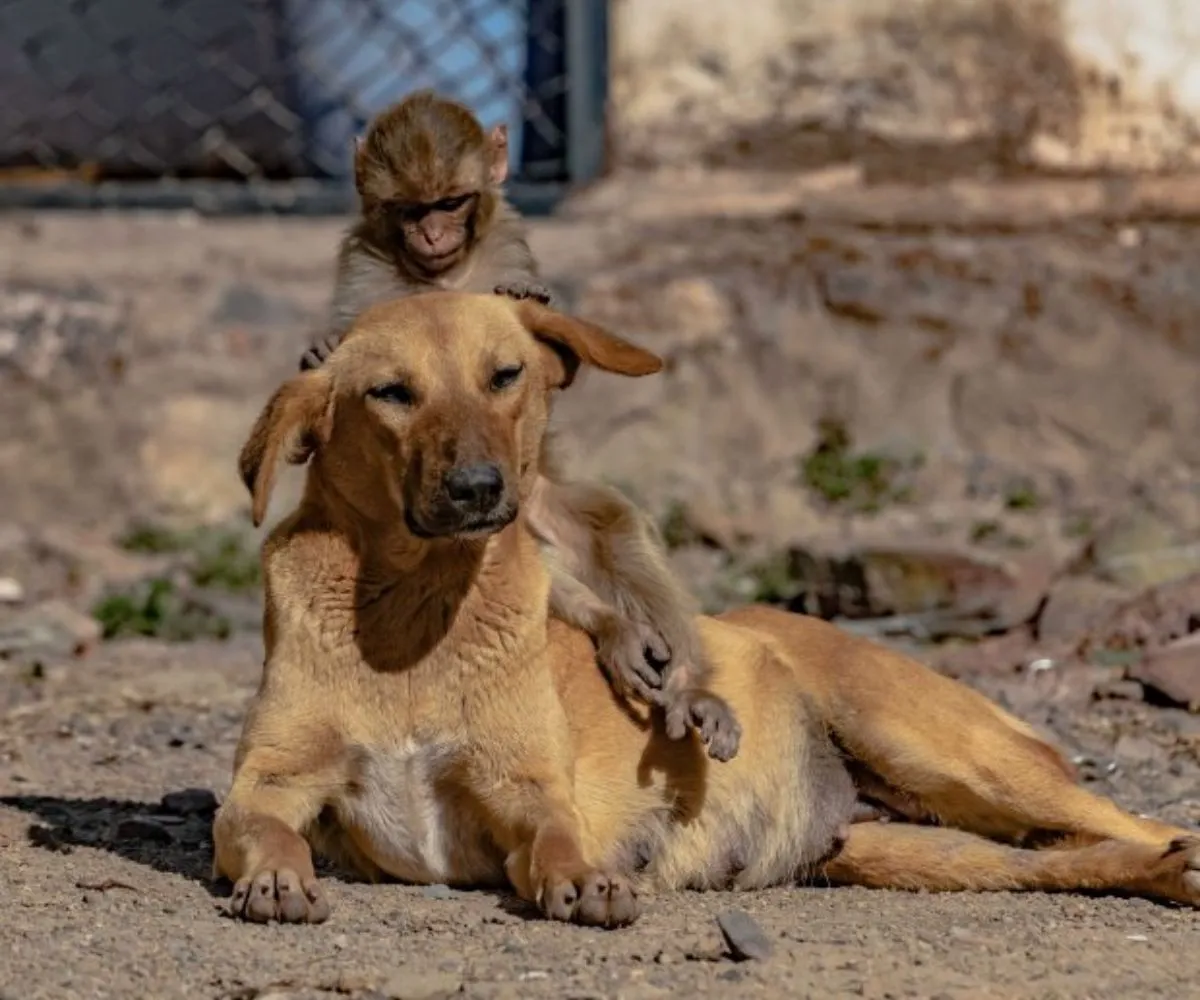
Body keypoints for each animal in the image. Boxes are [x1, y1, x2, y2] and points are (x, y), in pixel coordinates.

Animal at [213, 290, 1200, 926]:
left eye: (505, 376)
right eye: (391, 393)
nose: (479, 490)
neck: (414, 619)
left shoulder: (529, 793)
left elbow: (559, 840)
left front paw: (585, 881)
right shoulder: (269, 786)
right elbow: (262, 831)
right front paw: (277, 880)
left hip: (953, 757)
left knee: (1133, 822)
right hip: (920, 850)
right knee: (1067, 860)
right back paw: (1161, 875)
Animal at [304, 91, 734, 758]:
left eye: (451, 202)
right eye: (409, 209)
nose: (432, 232)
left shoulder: (507, 241)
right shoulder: (363, 268)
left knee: (612, 527)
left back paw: (686, 681)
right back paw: (614, 629)